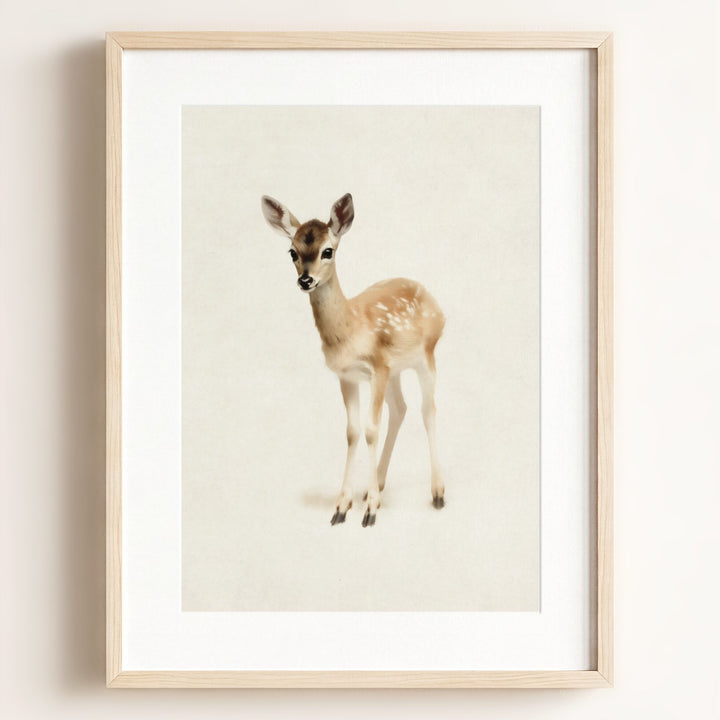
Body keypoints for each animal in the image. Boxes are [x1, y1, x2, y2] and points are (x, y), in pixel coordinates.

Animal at [261, 193, 446, 527]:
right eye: (292, 251)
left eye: (328, 250)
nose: (306, 280)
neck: (351, 331)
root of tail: (436, 302)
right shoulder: (348, 375)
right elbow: (353, 432)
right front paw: (342, 506)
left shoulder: (377, 367)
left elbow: (371, 429)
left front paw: (370, 512)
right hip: (396, 370)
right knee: (401, 408)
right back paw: (378, 485)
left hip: (425, 355)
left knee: (427, 409)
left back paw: (437, 492)